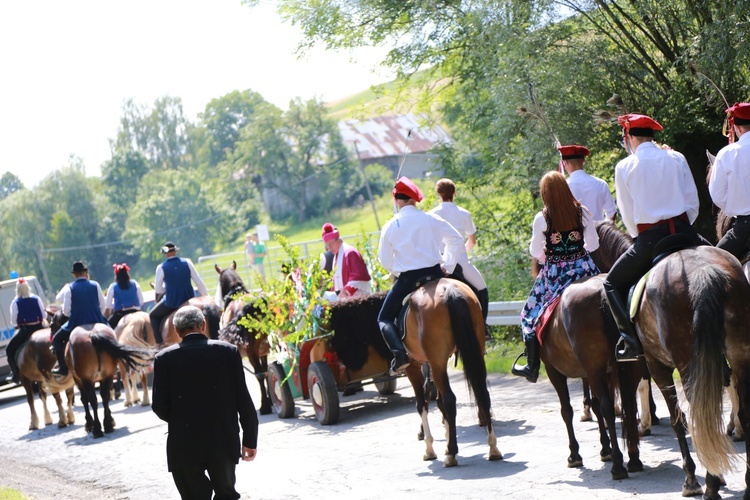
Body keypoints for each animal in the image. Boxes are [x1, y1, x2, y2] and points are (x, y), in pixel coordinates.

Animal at [214, 262, 274, 414]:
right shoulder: (263, 351)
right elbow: (266, 370)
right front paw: (271, 399)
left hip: (251, 349)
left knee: (258, 374)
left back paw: (264, 406)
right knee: (263, 372)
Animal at [402, 278, 502, 468]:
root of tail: (449, 291)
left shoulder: (414, 366)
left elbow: (422, 404)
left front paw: (430, 449)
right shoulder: (437, 365)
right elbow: (437, 401)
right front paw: (446, 441)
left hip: (435, 362)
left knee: (449, 400)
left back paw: (452, 455)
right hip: (473, 352)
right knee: (482, 394)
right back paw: (493, 448)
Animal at [592, 221, 750, 498]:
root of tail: (705, 271)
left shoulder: (656, 365)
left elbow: (678, 418)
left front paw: (693, 479)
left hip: (687, 364)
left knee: (698, 411)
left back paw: (709, 484)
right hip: (739, 354)